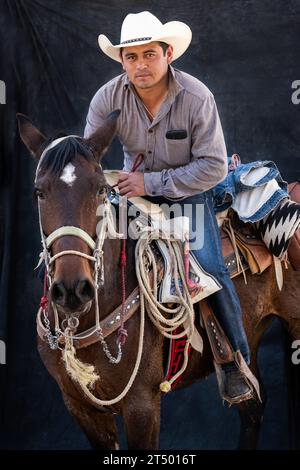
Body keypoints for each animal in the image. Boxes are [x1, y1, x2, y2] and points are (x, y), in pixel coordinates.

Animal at [17, 111, 300, 452]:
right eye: (39, 192)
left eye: (100, 190)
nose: (73, 289)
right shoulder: (80, 407)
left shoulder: (142, 405)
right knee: (253, 409)